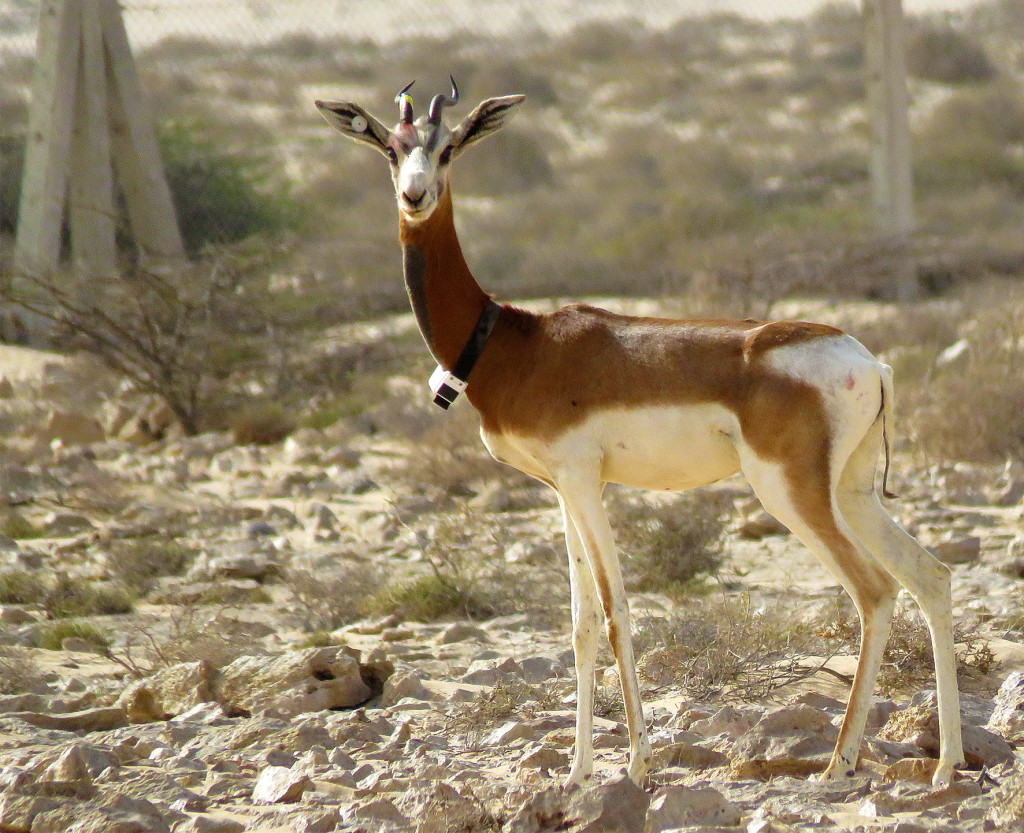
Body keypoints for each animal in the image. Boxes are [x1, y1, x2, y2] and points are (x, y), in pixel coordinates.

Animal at [315, 80, 965, 788]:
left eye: (450, 147)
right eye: (391, 147)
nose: (415, 196)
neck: (515, 344)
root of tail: (869, 361)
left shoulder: (583, 481)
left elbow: (615, 611)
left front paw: (635, 765)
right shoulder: (562, 488)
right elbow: (580, 626)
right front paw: (577, 774)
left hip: (790, 493)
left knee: (875, 590)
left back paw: (838, 764)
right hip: (850, 491)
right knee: (930, 575)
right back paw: (946, 765)